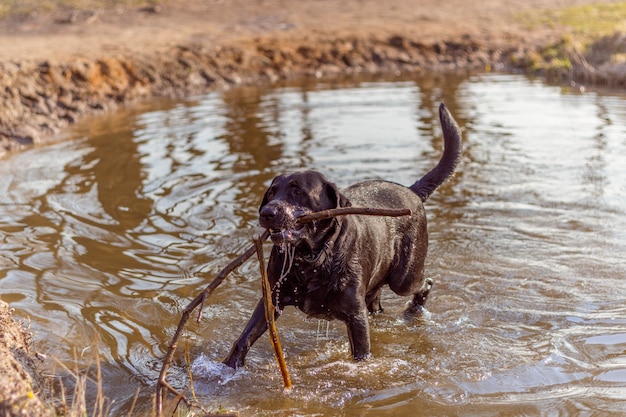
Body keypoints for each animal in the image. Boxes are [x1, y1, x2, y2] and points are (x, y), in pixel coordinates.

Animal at [222, 103, 460, 368]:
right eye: (271, 192)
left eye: (297, 191)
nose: (266, 213)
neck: (309, 260)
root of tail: (412, 191)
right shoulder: (271, 300)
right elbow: (244, 338)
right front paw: (228, 367)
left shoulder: (355, 316)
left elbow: (362, 355)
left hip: (404, 277)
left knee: (424, 284)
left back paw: (414, 310)